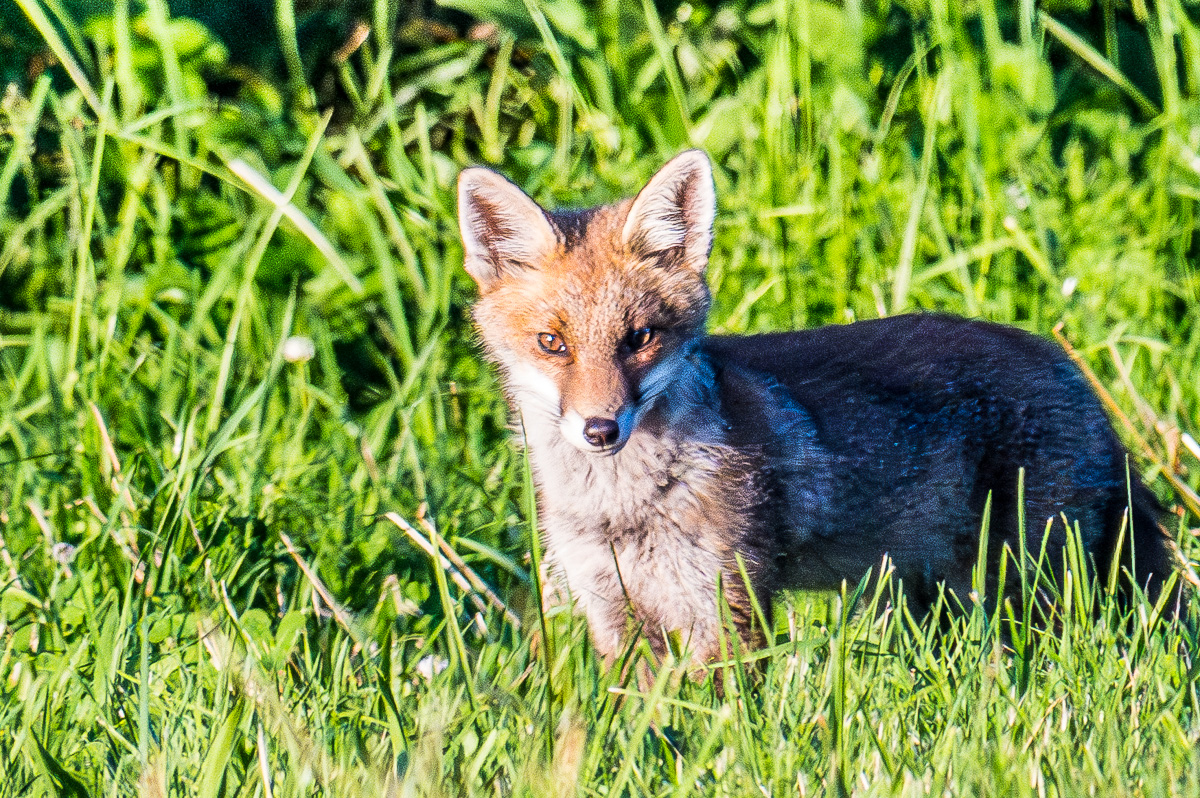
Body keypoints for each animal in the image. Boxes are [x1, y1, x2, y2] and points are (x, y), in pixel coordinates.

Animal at [456, 149, 1171, 667]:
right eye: (552, 343)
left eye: (640, 338)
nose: (601, 429)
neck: (620, 511)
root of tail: (1070, 369)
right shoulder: (612, 611)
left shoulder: (725, 606)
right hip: (935, 594)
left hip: (1031, 586)